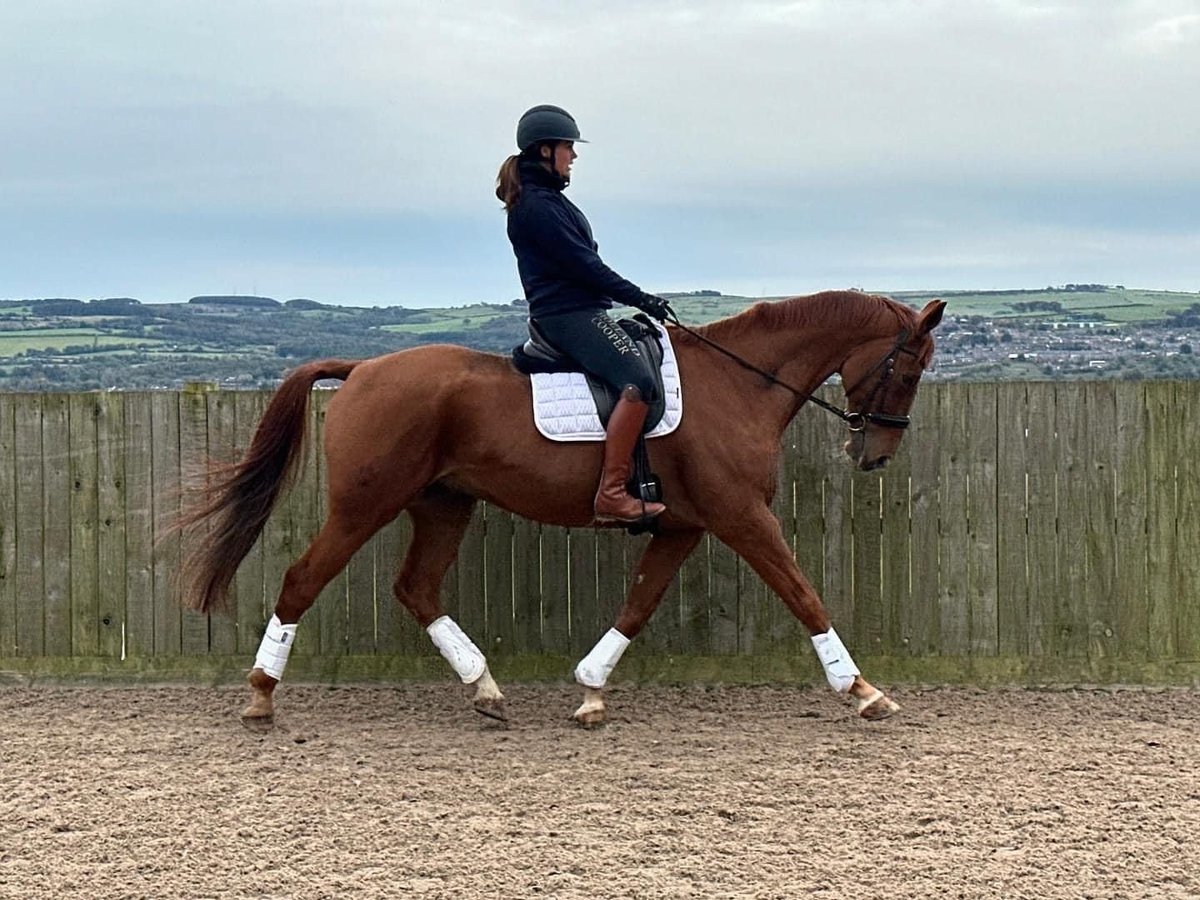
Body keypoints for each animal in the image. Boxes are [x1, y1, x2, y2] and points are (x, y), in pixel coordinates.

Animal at [180, 292, 945, 729]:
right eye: (908, 370)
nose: (873, 454)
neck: (739, 383)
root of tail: (362, 369)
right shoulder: (741, 517)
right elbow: (802, 593)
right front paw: (863, 691)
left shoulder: (683, 524)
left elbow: (638, 604)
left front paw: (591, 692)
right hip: (363, 505)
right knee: (302, 580)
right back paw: (260, 696)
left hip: (444, 505)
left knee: (416, 587)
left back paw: (486, 691)